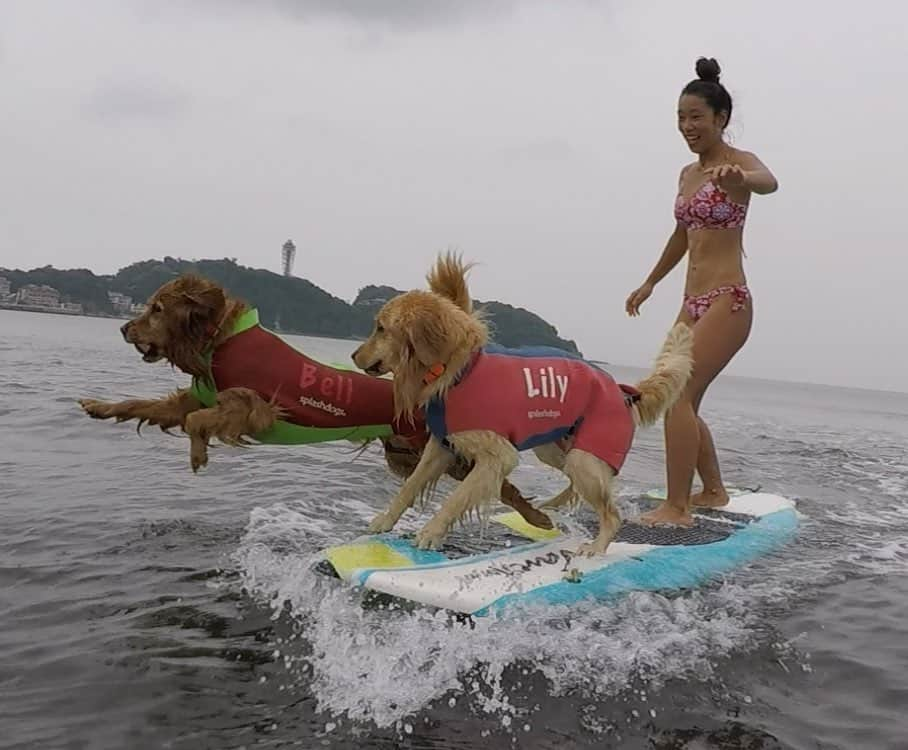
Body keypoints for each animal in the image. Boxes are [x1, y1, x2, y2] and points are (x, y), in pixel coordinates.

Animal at [352, 256, 692, 556]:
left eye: (381, 328)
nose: (354, 356)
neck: (456, 371)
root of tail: (624, 392)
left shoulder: (497, 457)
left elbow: (456, 498)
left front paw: (431, 533)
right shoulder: (441, 447)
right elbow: (409, 486)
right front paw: (385, 521)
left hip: (585, 456)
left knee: (611, 513)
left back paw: (595, 547)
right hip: (557, 449)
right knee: (580, 483)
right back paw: (551, 508)